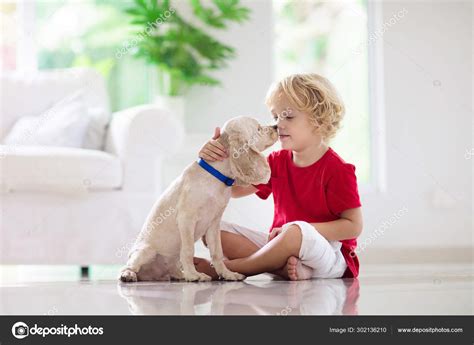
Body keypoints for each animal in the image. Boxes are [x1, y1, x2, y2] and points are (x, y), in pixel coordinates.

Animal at [120, 116, 280, 282]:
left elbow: (217, 252)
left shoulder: (214, 223)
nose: (276, 127)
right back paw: (129, 275)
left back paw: (180, 275)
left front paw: (227, 274)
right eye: (258, 128)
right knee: (128, 266)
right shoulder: (186, 219)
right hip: (145, 252)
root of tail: (151, 275)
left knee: (173, 269)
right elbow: (189, 250)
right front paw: (194, 275)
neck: (217, 177)